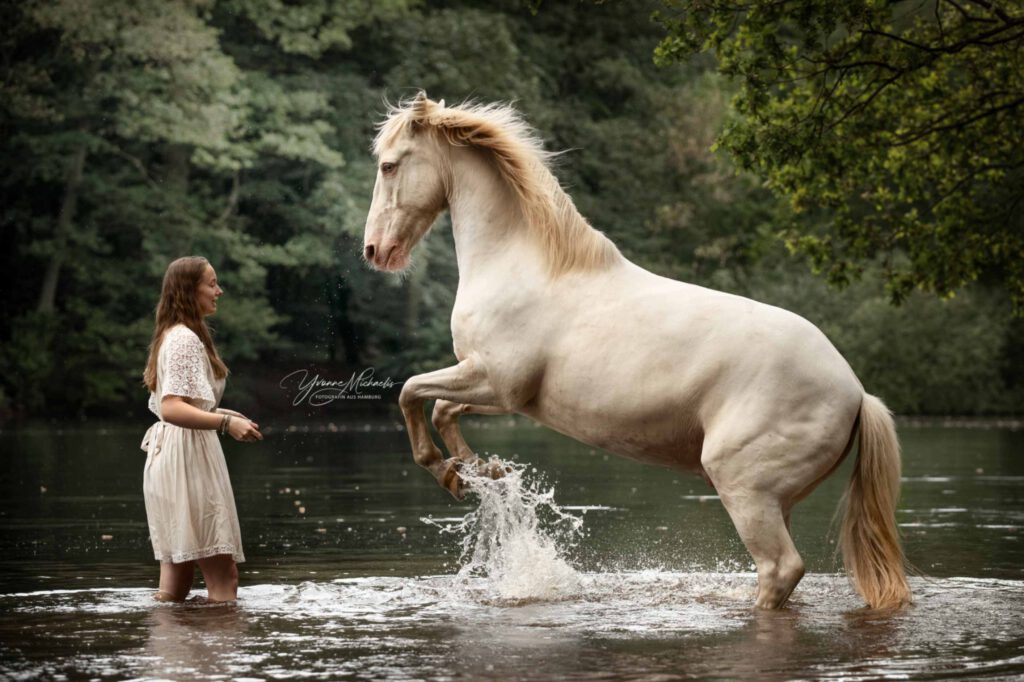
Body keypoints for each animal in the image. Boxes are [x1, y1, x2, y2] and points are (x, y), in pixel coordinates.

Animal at [362, 93, 913, 606]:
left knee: (781, 569)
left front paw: (446, 470)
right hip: (780, 501)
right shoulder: (503, 394)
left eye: (389, 165)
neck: (521, 263)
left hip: (744, 489)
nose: (374, 252)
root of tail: (856, 392)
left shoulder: (497, 381)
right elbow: (442, 407)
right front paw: (476, 473)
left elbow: (411, 392)